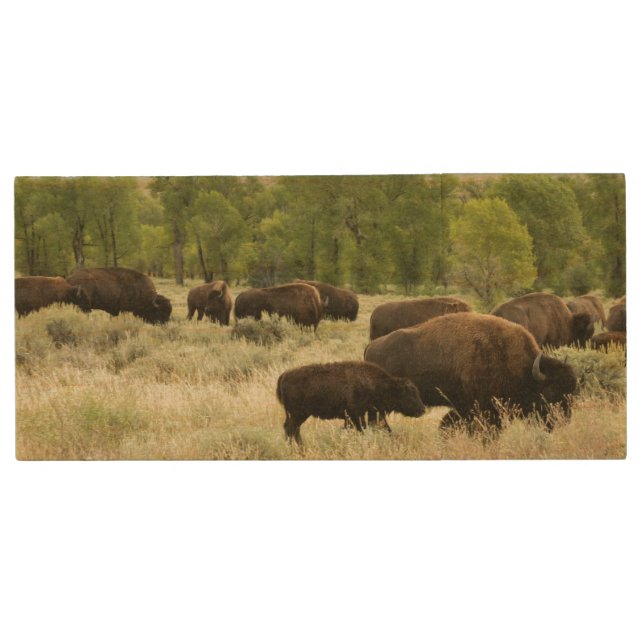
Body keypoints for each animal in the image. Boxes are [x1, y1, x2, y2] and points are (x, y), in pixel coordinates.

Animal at [276, 361, 425, 444]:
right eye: (409, 394)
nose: (422, 409)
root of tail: (284, 375)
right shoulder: (355, 415)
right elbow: (362, 429)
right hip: (298, 414)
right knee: (291, 430)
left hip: (298, 415)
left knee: (291, 429)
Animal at [364, 312, 578, 432]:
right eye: (550, 392)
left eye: (572, 392)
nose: (563, 421)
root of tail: (371, 346)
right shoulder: (481, 408)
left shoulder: (465, 407)